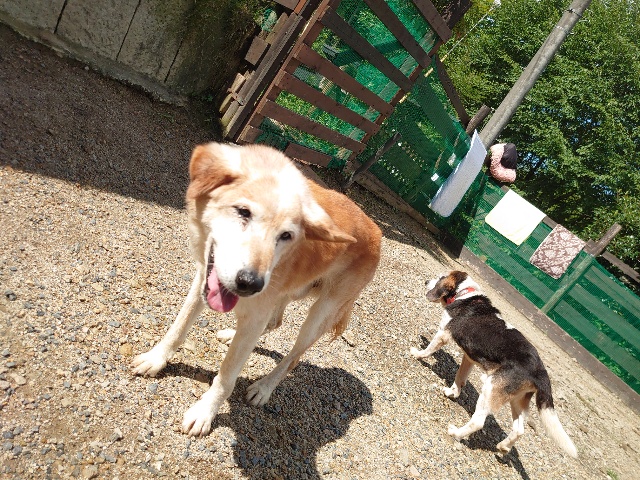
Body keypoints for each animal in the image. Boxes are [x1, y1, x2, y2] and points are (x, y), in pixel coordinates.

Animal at [132, 142, 381, 436]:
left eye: (286, 236)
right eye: (243, 212)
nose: (250, 283)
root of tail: (377, 232)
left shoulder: (254, 307)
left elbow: (227, 375)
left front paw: (205, 412)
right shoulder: (203, 280)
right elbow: (178, 328)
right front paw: (155, 359)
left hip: (320, 314)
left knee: (292, 358)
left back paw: (263, 388)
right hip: (284, 295)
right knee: (273, 322)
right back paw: (232, 334)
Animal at [410, 271, 577, 457]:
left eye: (440, 278)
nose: (426, 281)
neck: (465, 294)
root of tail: (540, 370)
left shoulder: (442, 334)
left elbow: (429, 349)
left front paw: (418, 353)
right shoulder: (469, 358)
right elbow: (460, 377)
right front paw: (453, 392)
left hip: (490, 389)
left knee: (478, 422)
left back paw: (456, 433)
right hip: (516, 399)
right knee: (519, 429)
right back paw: (503, 447)